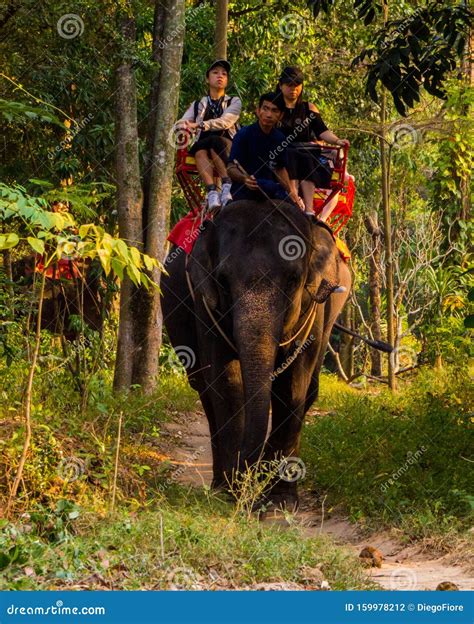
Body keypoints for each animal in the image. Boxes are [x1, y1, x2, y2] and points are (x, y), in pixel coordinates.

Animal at [161, 200, 350, 508]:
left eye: (293, 280)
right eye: (223, 280)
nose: (248, 493)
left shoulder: (315, 307)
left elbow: (292, 386)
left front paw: (279, 500)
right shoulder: (204, 303)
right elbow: (227, 381)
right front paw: (231, 492)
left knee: (309, 389)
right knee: (202, 386)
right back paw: (221, 484)